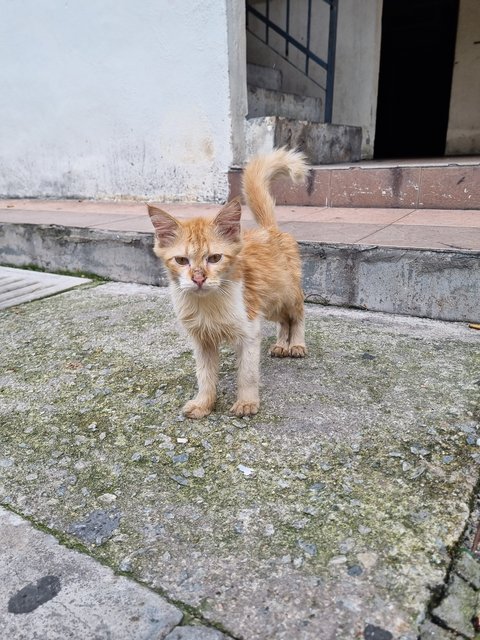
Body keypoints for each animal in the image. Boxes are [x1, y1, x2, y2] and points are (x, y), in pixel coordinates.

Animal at [146, 149, 310, 420]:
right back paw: (280, 345)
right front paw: (203, 403)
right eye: (181, 260)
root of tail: (268, 229)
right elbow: (204, 375)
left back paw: (295, 344)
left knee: (296, 315)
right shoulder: (202, 341)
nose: (198, 277)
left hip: (285, 294)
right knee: (284, 321)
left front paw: (246, 402)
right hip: (268, 305)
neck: (208, 305)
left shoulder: (249, 332)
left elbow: (247, 373)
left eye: (214, 258)